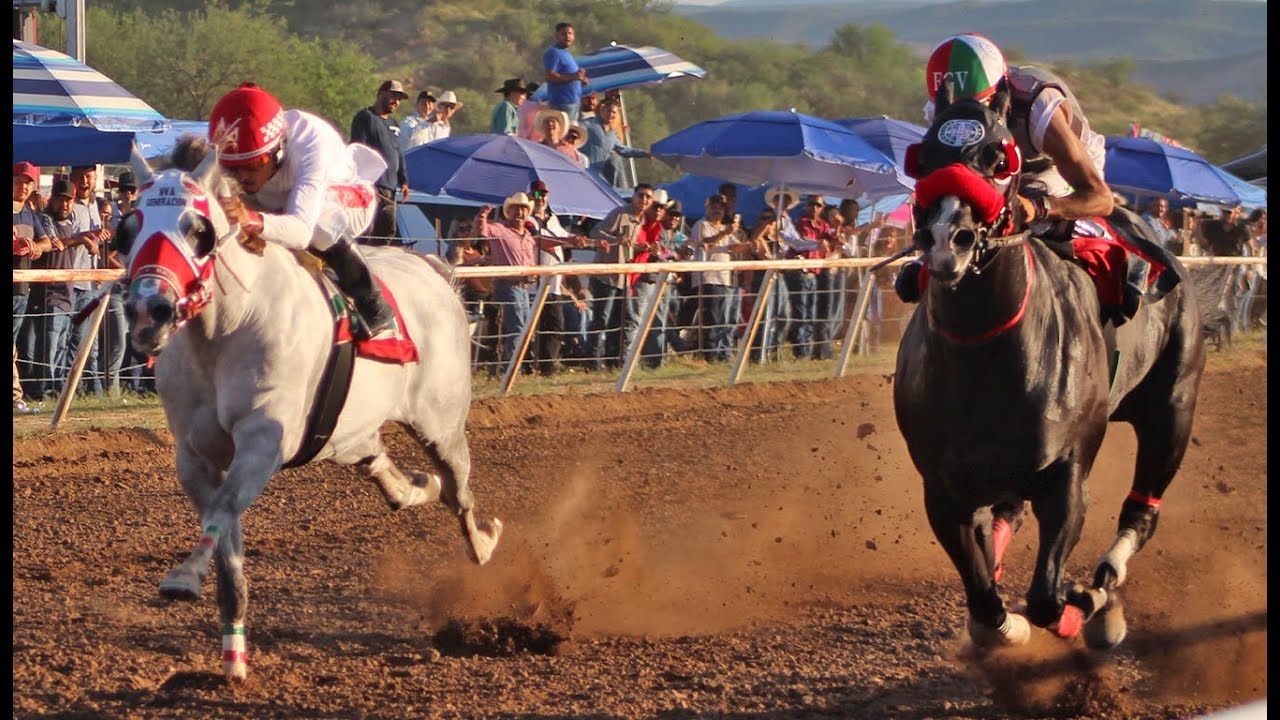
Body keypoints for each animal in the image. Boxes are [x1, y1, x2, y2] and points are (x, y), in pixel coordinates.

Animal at [117, 138, 503, 680]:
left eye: (197, 230)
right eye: (128, 230)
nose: (148, 311)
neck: (226, 331)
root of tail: (433, 269)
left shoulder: (263, 441)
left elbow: (222, 510)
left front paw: (184, 576)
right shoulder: (194, 455)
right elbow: (225, 533)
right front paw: (233, 657)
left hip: (441, 424)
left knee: (460, 490)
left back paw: (482, 540)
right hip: (346, 433)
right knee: (388, 465)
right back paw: (414, 488)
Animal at [892, 85, 1205, 650]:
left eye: (997, 159)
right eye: (923, 159)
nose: (947, 240)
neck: (983, 360)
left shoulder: (1066, 475)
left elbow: (1044, 598)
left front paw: (1083, 605)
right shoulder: (943, 490)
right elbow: (982, 601)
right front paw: (1002, 623)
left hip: (1174, 405)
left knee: (1142, 510)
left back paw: (1105, 587)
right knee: (1007, 515)